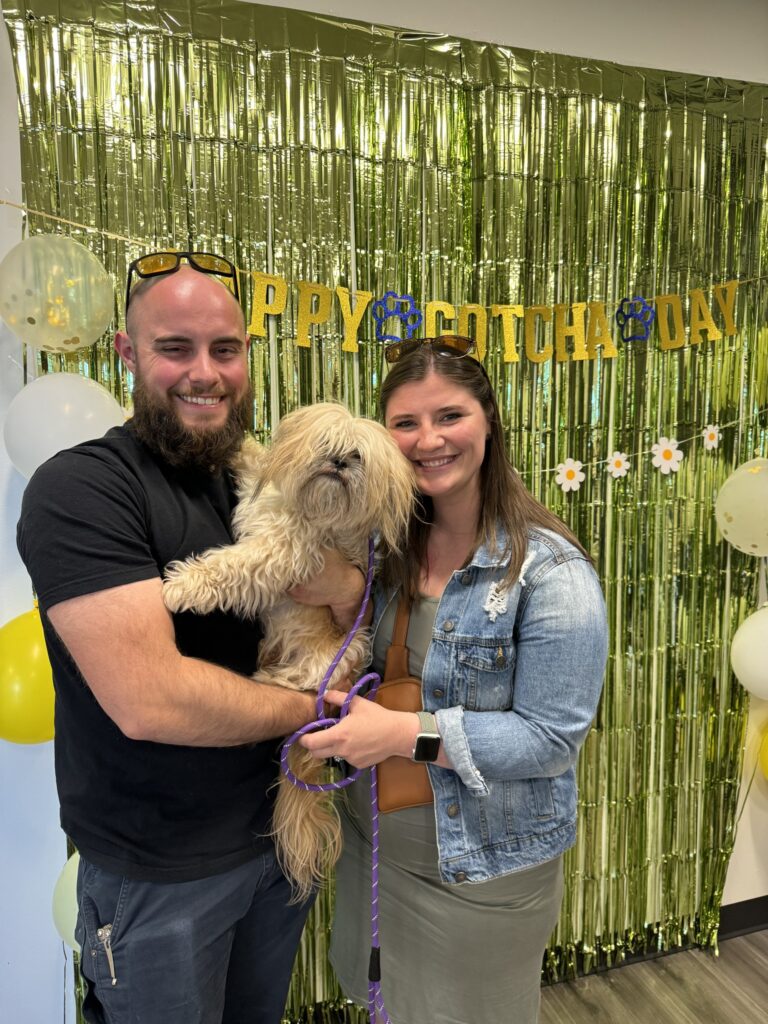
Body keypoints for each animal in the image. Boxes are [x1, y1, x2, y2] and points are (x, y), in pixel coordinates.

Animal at [160, 399, 415, 897]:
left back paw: (268, 679)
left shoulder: (280, 553)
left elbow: (230, 567)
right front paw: (240, 443)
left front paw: (183, 585)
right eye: (328, 445)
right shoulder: (262, 510)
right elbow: (255, 461)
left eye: (357, 457)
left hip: (340, 652)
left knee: (303, 685)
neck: (310, 510)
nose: (338, 464)